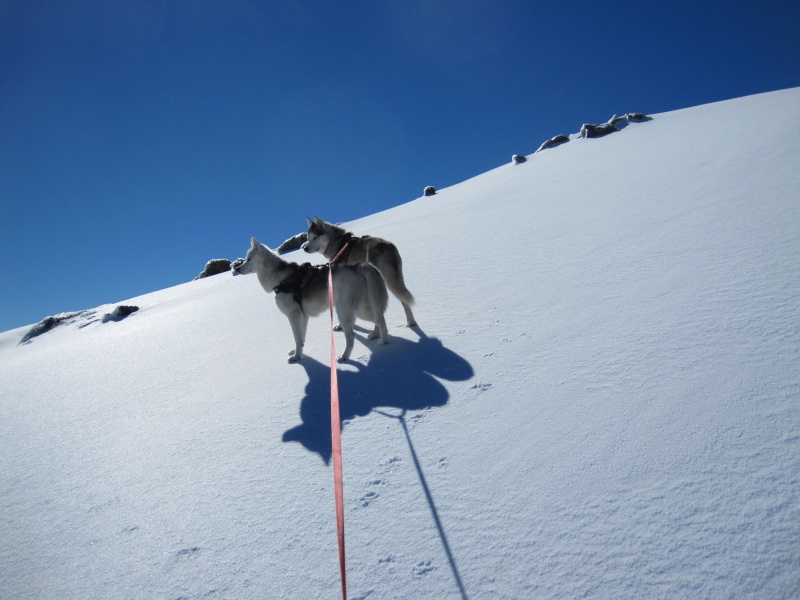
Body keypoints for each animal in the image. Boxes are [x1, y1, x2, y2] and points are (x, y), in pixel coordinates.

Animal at [234, 238, 390, 360]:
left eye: (249, 259)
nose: (237, 269)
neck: (282, 279)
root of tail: (356, 266)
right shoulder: (302, 316)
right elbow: (301, 338)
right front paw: (298, 351)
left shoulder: (293, 315)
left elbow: (297, 338)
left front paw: (296, 357)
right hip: (360, 307)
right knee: (379, 317)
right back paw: (376, 336)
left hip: (347, 311)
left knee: (354, 335)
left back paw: (350, 354)